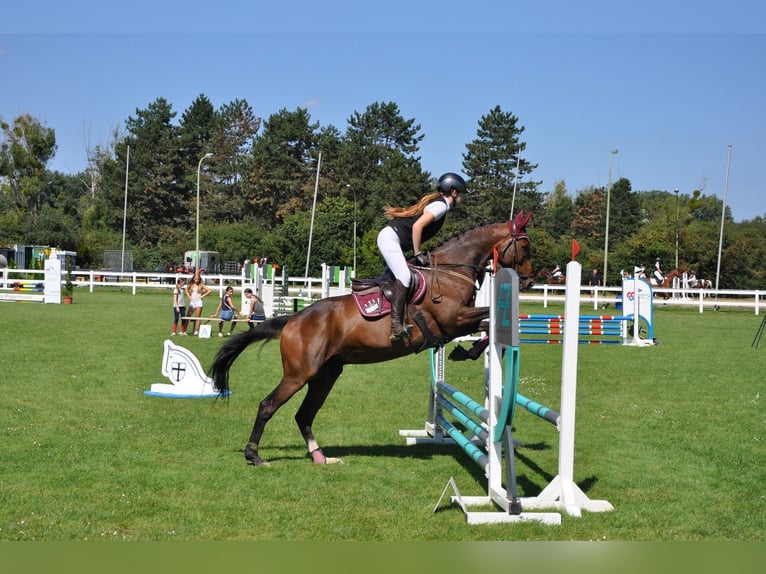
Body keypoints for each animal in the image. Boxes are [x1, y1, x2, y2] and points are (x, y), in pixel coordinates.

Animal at [207, 212, 536, 468]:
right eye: (526, 246)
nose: (531, 281)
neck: (451, 271)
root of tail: (294, 320)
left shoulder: (457, 322)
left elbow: (488, 321)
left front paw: (468, 351)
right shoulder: (452, 320)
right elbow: (489, 316)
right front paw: (469, 350)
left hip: (326, 375)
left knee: (304, 415)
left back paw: (320, 457)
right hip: (299, 374)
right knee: (268, 406)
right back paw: (254, 456)